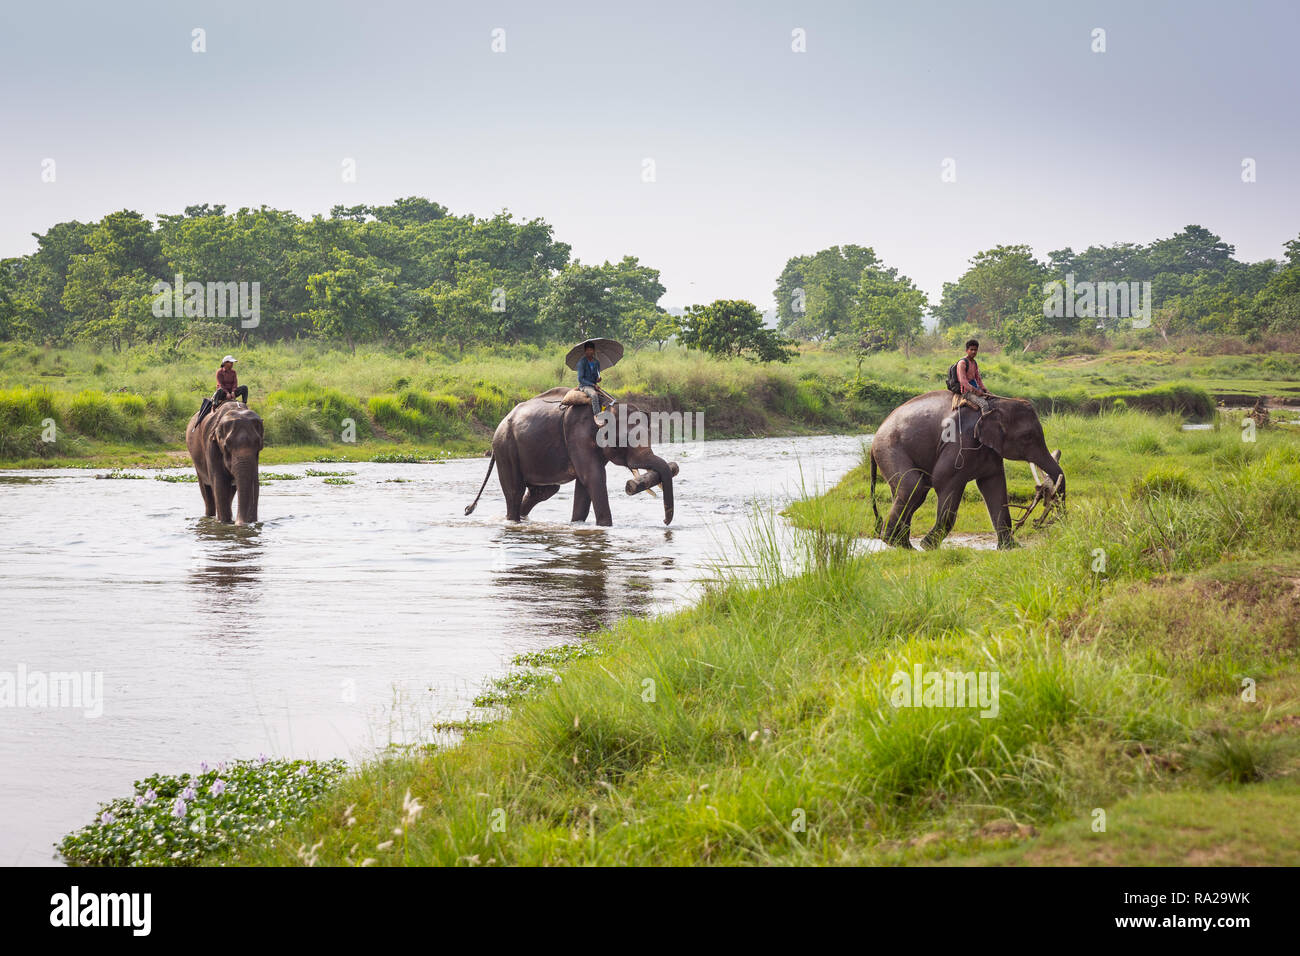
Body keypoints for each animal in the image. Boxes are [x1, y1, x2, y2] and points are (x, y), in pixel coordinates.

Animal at [185, 400, 263, 528]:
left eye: (259, 446)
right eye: (226, 446)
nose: (241, 523)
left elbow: (255, 483)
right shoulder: (211, 446)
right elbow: (219, 484)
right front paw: (224, 523)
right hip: (196, 461)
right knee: (207, 492)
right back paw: (209, 517)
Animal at [462, 385, 676, 528]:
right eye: (623, 441)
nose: (665, 521)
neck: (605, 407)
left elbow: (584, 485)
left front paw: (577, 524)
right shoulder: (577, 435)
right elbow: (593, 477)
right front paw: (605, 526)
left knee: (544, 491)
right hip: (506, 449)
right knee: (515, 491)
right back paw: (513, 520)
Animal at [868, 390, 1060, 554]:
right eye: (1027, 437)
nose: (1060, 519)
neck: (996, 404)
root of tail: (873, 441)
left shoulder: (989, 450)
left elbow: (994, 486)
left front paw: (1011, 548)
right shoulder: (961, 441)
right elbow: (944, 481)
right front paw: (928, 546)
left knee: (908, 493)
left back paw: (904, 546)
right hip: (889, 448)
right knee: (914, 487)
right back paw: (895, 542)